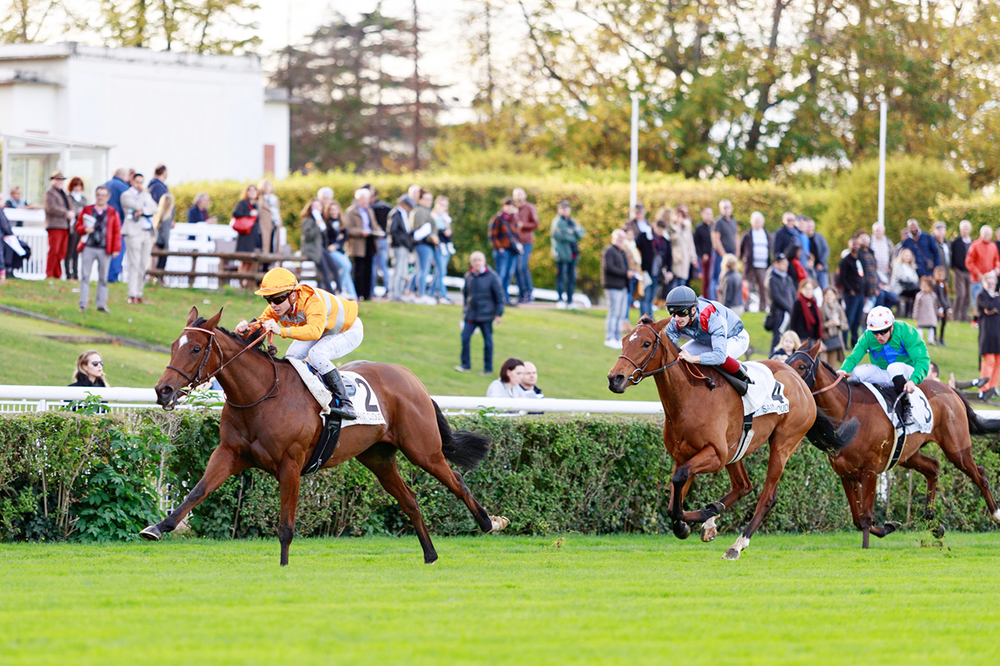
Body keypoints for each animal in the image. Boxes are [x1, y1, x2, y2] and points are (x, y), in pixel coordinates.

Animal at [141, 308, 508, 564]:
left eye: (195, 348)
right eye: (173, 346)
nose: (163, 390)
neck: (260, 395)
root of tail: (411, 378)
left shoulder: (290, 464)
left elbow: (286, 525)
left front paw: (283, 567)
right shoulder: (229, 454)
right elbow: (196, 492)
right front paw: (157, 528)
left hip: (423, 449)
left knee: (457, 480)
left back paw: (490, 522)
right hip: (378, 458)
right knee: (410, 501)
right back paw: (430, 554)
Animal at [604, 316, 832, 560]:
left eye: (646, 343)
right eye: (624, 341)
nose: (615, 378)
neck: (689, 397)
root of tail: (798, 379)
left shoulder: (715, 455)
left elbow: (679, 480)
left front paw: (690, 521)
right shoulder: (683, 456)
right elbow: (674, 498)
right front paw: (693, 521)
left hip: (783, 443)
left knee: (767, 497)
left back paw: (736, 544)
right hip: (737, 448)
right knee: (743, 485)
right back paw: (712, 516)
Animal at [784, 340, 996, 548]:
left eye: (802, 366)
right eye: (786, 362)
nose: (788, 386)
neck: (849, 414)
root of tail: (949, 389)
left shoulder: (869, 471)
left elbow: (865, 517)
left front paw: (868, 545)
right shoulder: (846, 473)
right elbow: (857, 518)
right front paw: (889, 526)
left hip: (956, 448)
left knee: (979, 474)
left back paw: (995, 514)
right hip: (907, 454)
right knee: (933, 468)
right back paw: (933, 524)